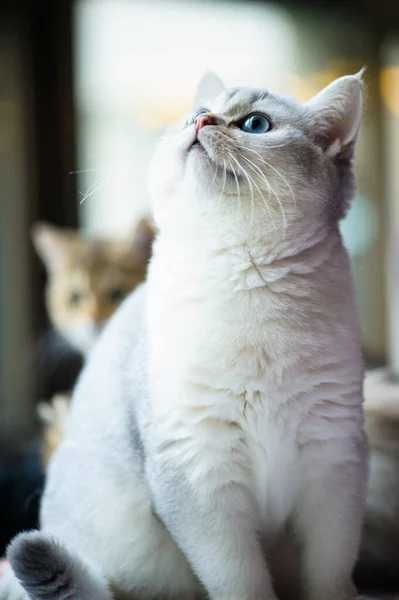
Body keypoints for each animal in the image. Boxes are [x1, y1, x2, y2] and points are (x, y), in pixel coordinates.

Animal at [0, 71, 368, 600]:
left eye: (255, 124)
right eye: (193, 115)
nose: (201, 121)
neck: (247, 283)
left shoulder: (334, 460)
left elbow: (330, 574)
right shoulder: (198, 470)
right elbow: (241, 581)